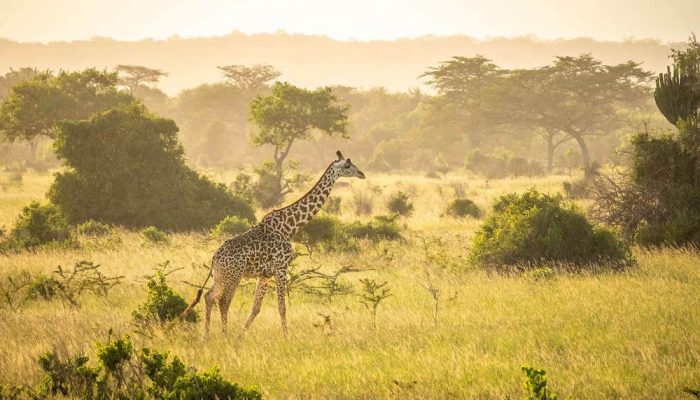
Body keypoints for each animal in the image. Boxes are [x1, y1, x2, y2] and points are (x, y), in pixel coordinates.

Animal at [180, 152, 366, 336]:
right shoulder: (281, 268)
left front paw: (241, 336)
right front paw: (286, 336)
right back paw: (224, 335)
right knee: (223, 301)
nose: (362, 174)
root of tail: (214, 259)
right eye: (347, 166)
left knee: (209, 297)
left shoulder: (265, 274)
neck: (290, 226)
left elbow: (256, 307)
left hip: (220, 276)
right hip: (234, 276)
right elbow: (282, 307)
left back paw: (207, 336)